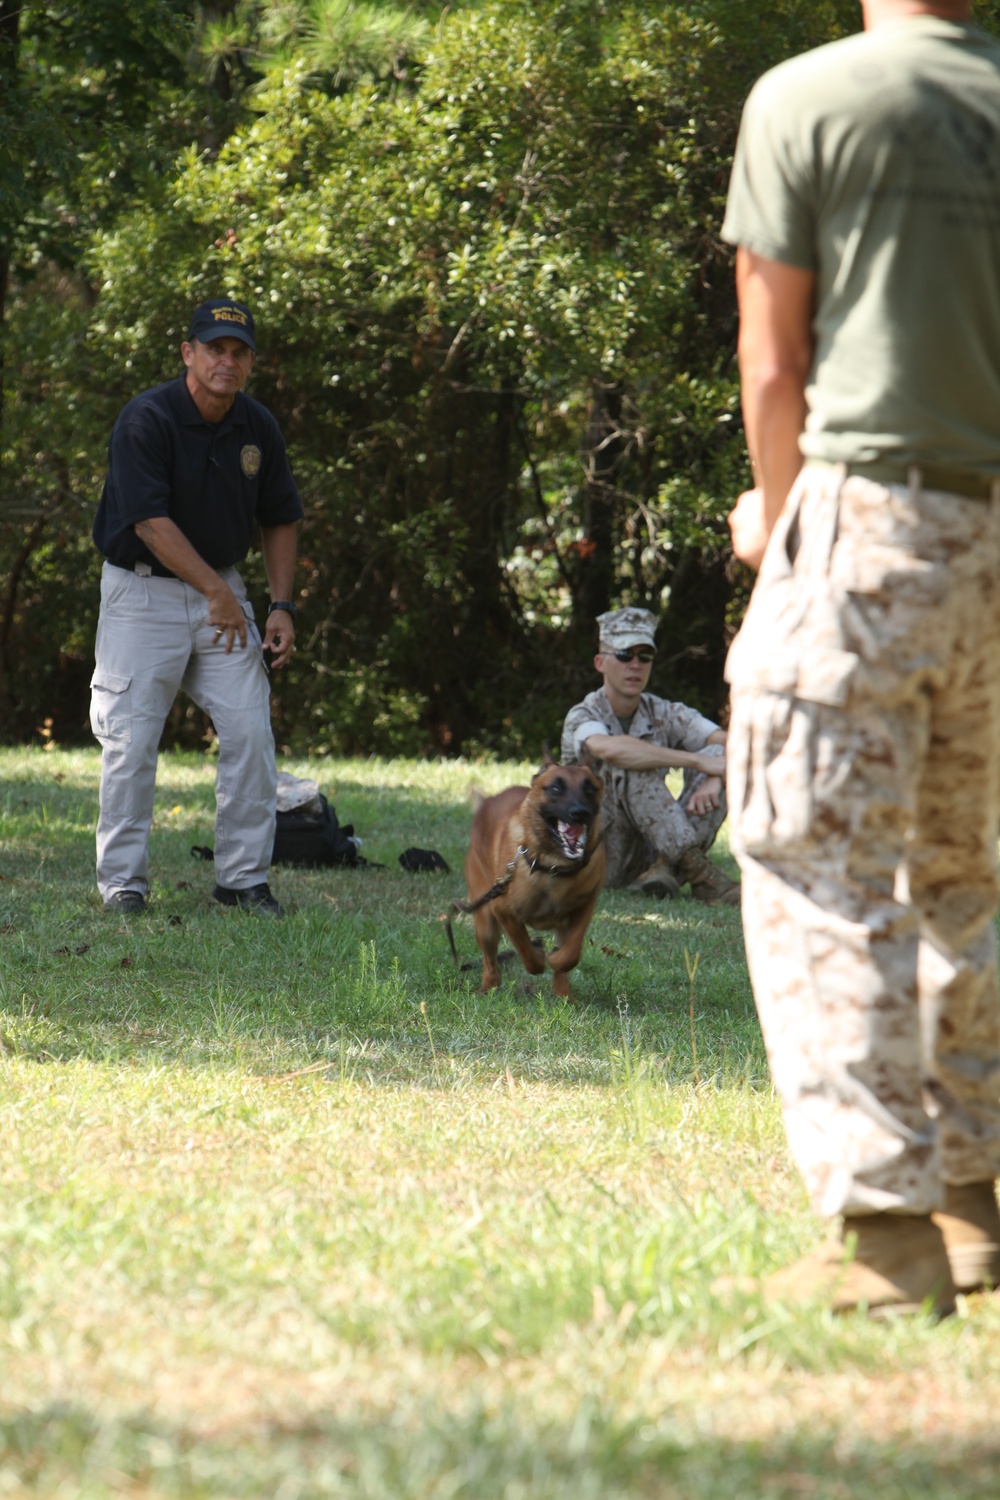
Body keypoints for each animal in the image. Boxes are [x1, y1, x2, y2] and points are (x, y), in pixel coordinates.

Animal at [458, 750, 605, 996]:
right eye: (555, 788)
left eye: (590, 788)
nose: (580, 813)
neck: (554, 866)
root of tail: (487, 802)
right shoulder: (503, 911)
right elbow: (526, 950)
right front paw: (539, 956)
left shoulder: (584, 907)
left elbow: (570, 954)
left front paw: (556, 959)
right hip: (485, 922)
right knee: (490, 960)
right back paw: (488, 988)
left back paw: (564, 995)